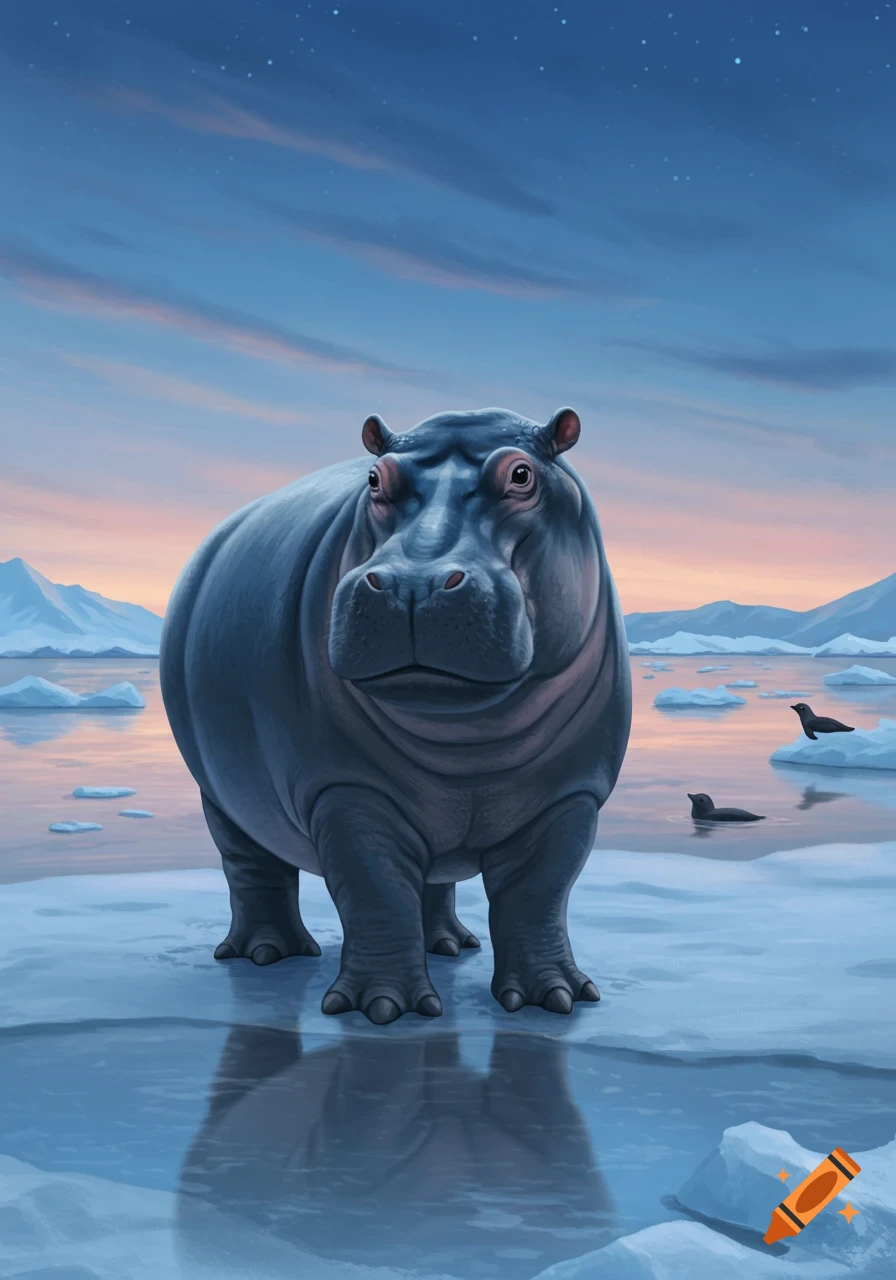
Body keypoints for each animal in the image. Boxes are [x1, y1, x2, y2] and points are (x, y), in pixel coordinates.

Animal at [160, 406, 631, 1025]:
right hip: (221, 792)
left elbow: (540, 891)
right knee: (251, 865)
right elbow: (374, 887)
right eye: (375, 479)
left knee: (433, 880)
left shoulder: (572, 794)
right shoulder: (343, 787)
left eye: (522, 474)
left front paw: (554, 999)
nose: (415, 582)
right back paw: (267, 954)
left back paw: (450, 944)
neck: (469, 737)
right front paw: (383, 1009)